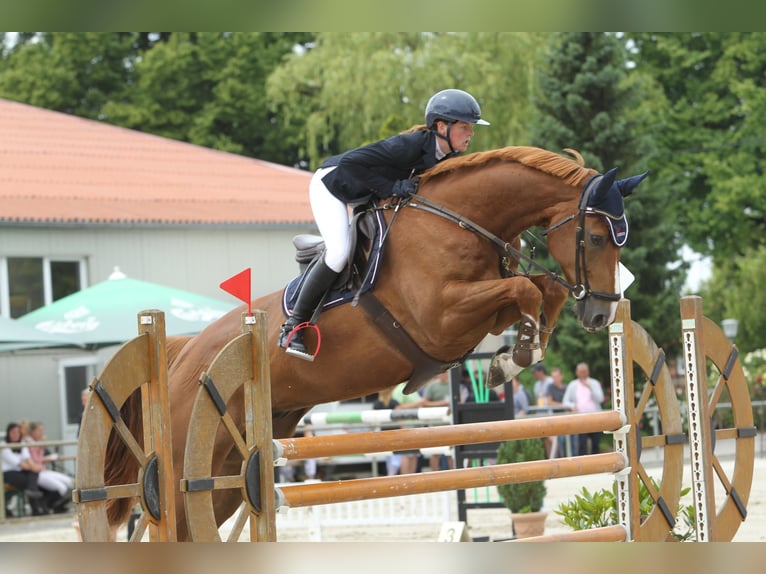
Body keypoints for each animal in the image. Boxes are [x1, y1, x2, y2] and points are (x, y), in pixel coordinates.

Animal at [105, 146, 652, 544]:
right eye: (598, 237)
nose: (601, 314)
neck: (459, 220)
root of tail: (182, 353)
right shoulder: (443, 317)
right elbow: (527, 290)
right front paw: (515, 357)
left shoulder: (478, 308)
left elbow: (542, 290)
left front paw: (515, 355)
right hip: (191, 462)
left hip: (230, 471)